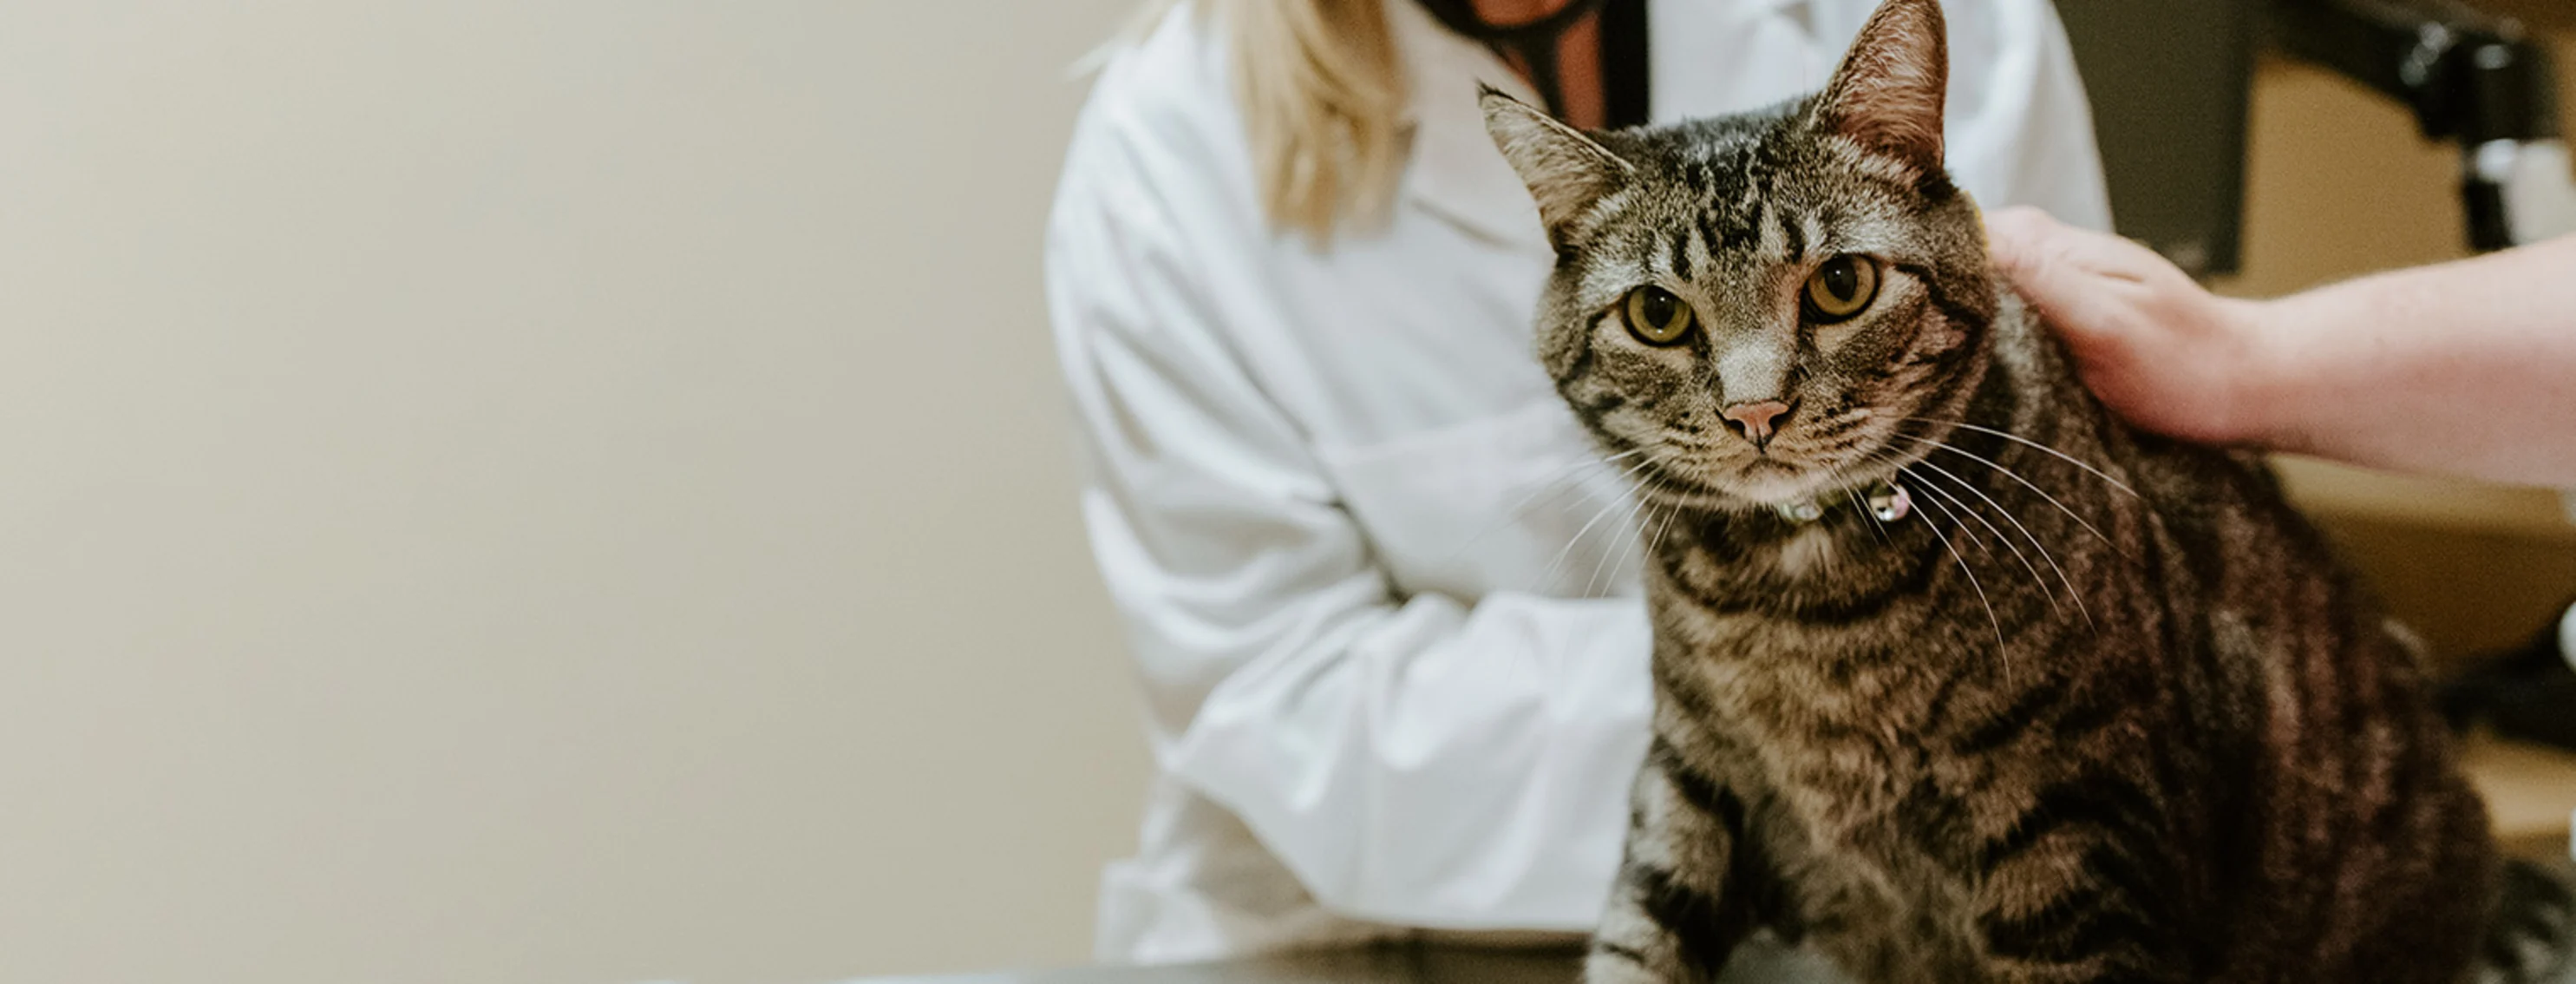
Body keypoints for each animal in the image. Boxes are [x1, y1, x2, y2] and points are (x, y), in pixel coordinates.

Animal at [1473, 2, 2576, 984]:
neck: (1802, 609)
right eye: (1657, 315)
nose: (1755, 412)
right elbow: (1638, 938)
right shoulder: (1692, 782)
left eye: (1840, 286)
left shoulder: (2074, 837)